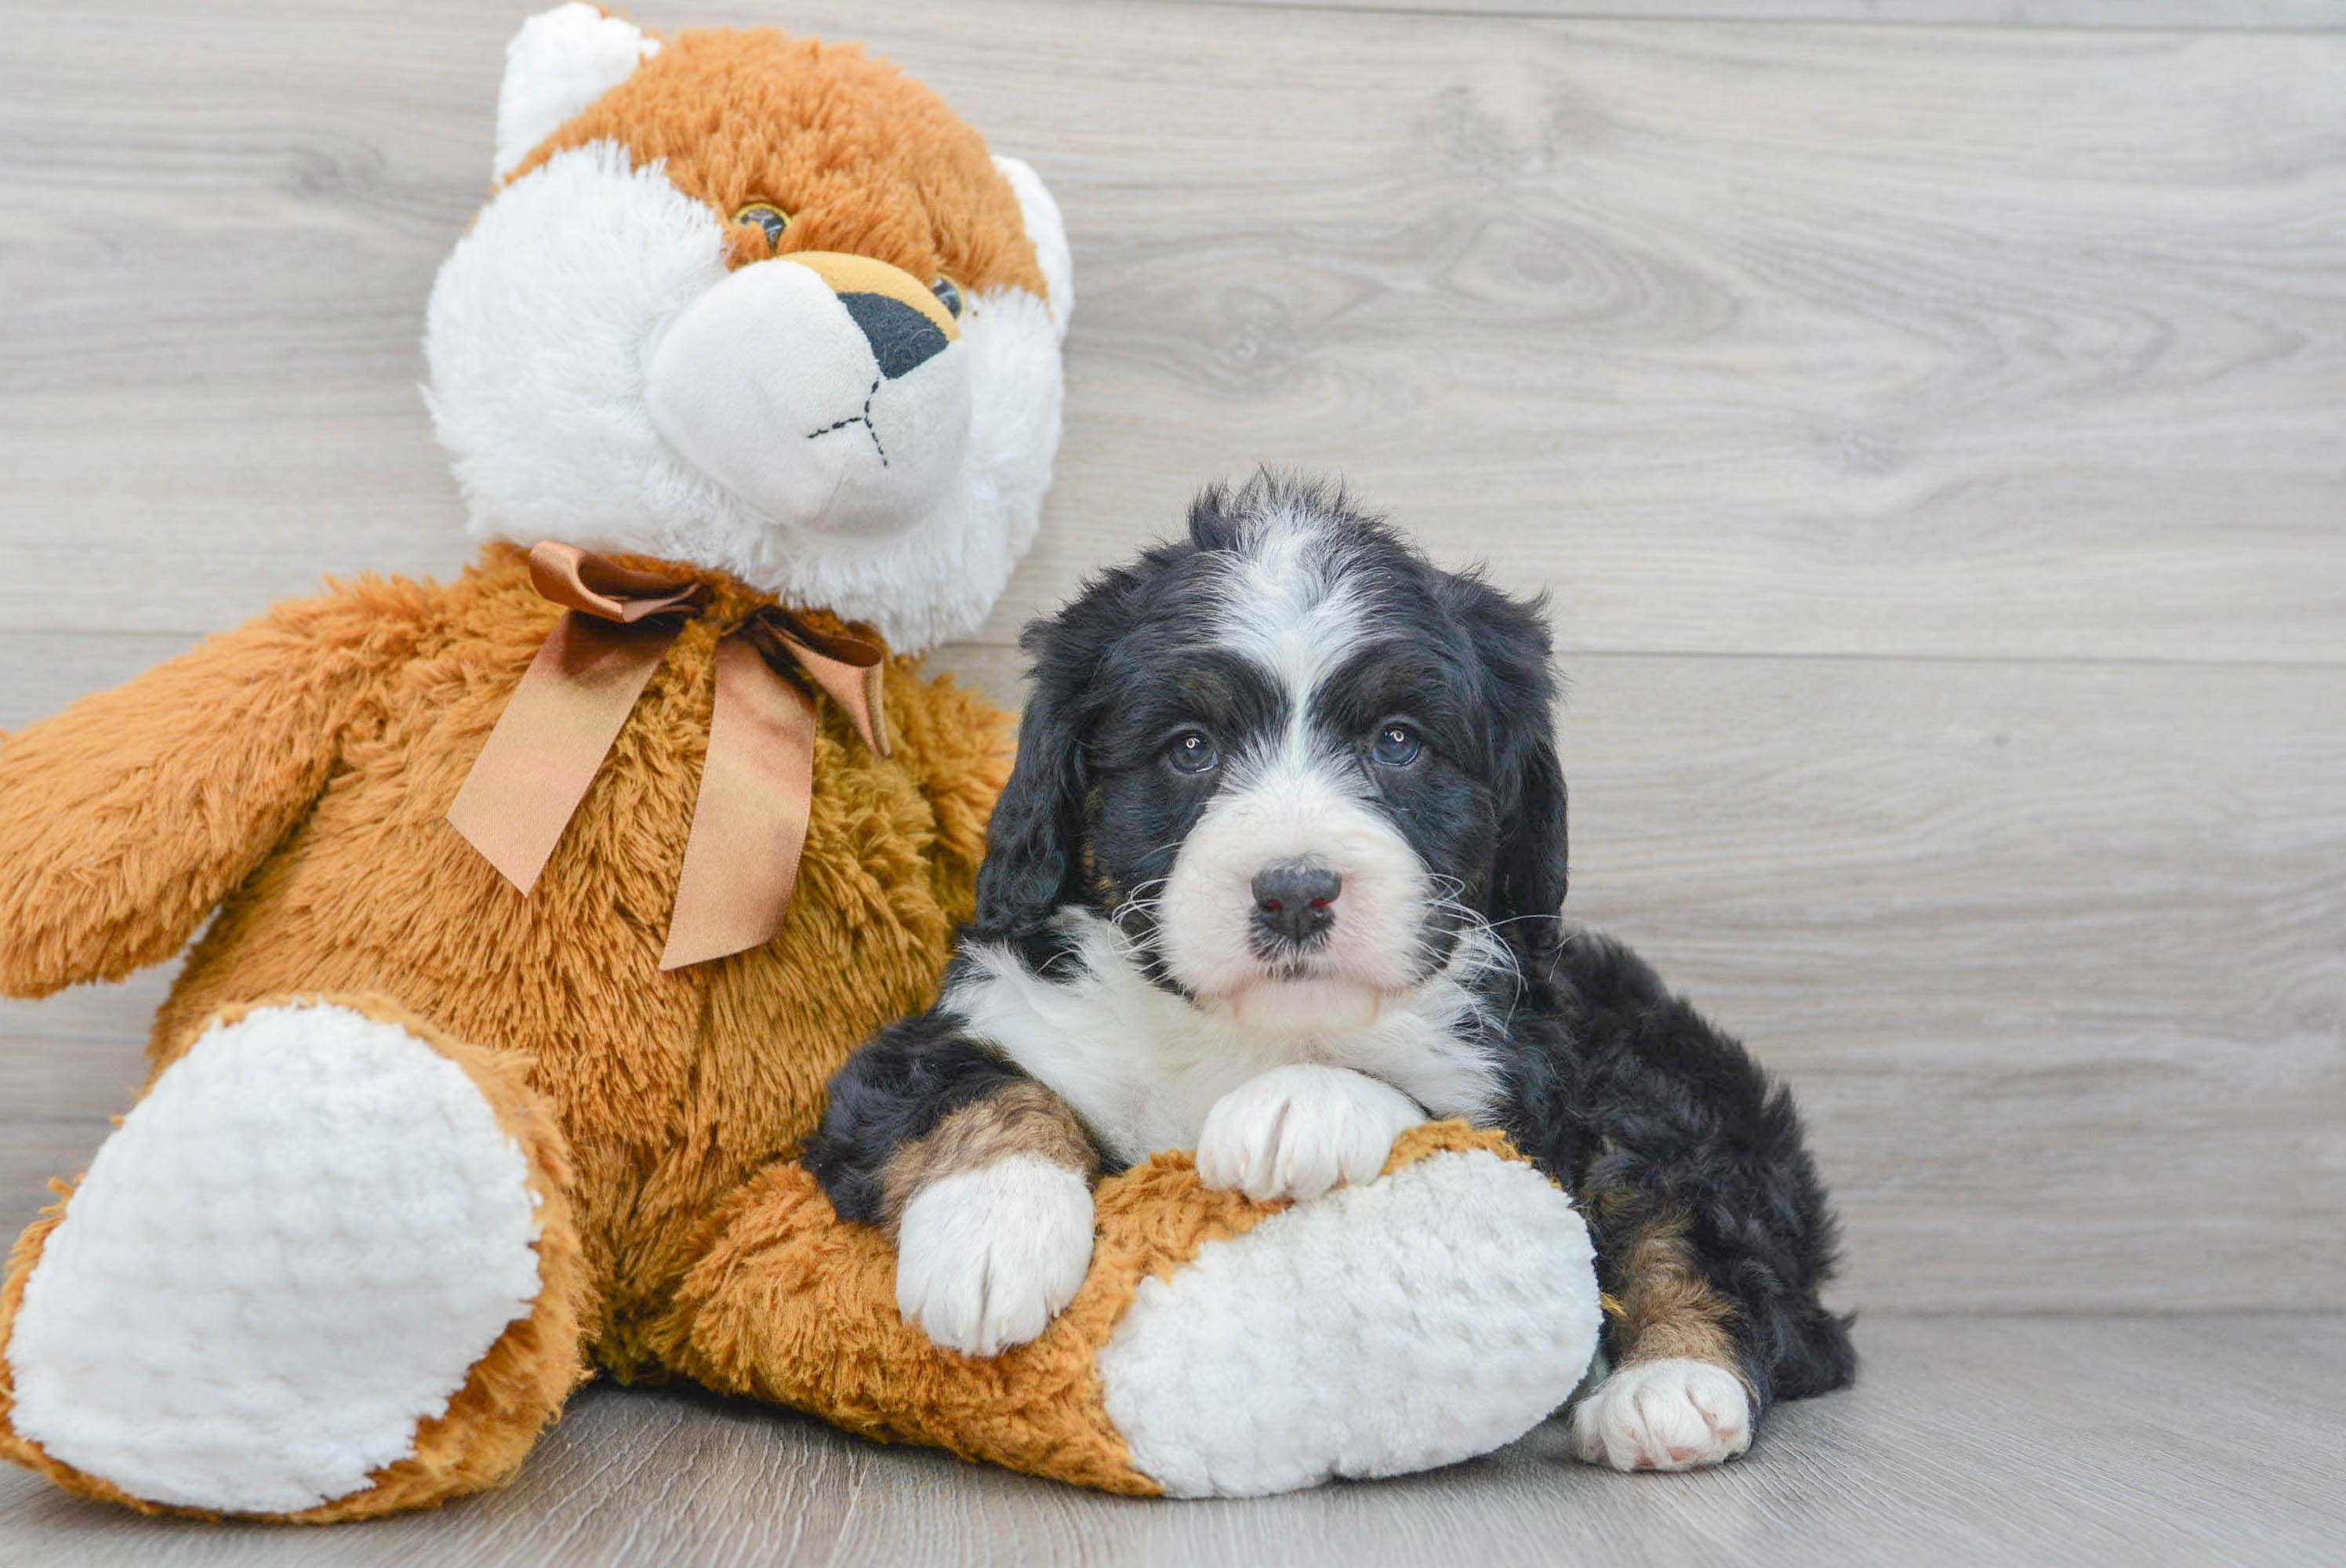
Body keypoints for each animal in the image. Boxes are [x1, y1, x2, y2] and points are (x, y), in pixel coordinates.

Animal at [807, 478, 1848, 1474]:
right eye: (1190, 747)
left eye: (1398, 740)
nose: (1295, 891)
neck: (1239, 1029)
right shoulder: (971, 1019)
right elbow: (973, 1085)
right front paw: (990, 1238)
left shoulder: (1524, 1081)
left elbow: (1428, 1103)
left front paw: (1294, 1105)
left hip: (1658, 1081)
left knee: (1699, 1231)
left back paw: (1669, 1387)